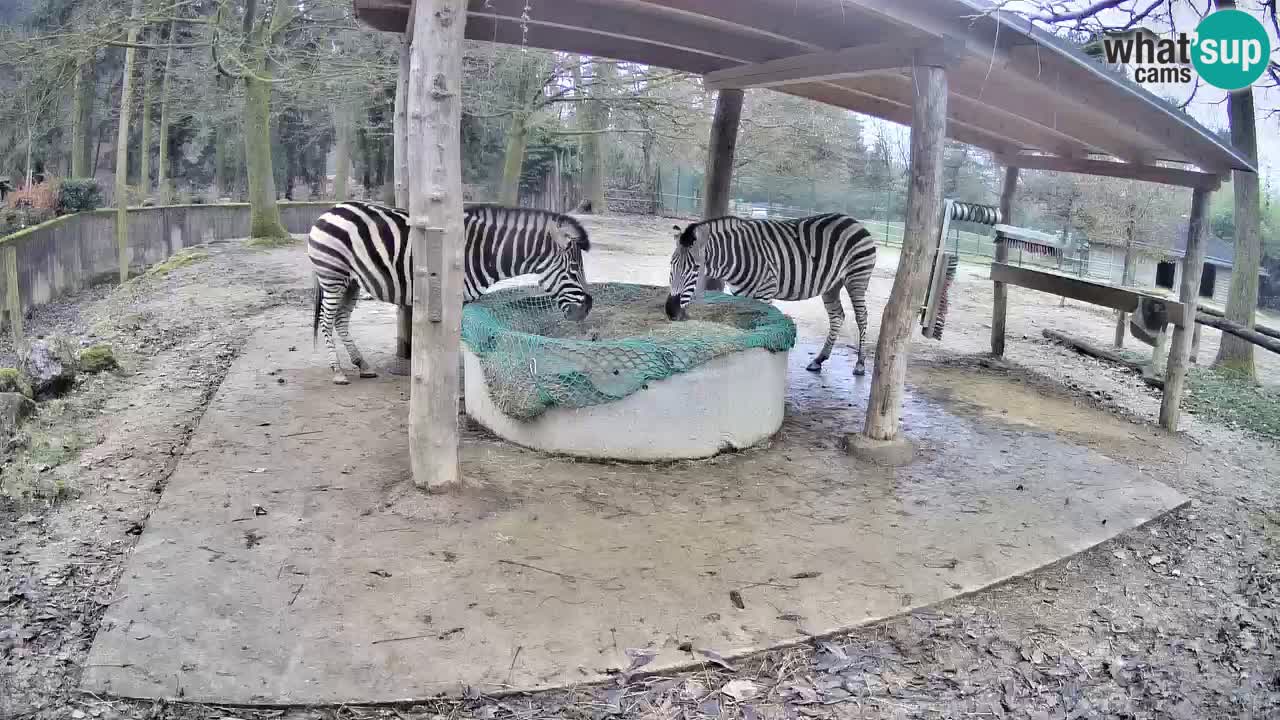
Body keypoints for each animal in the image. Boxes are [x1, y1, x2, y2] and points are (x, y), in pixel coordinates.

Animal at [308, 201, 593, 385]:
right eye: (574, 269)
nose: (588, 308)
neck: (484, 252)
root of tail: (330, 210)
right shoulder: (456, 299)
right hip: (332, 275)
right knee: (326, 320)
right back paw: (337, 371)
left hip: (352, 281)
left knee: (340, 320)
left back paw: (362, 365)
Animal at [665, 213, 877, 375]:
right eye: (671, 264)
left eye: (696, 268)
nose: (671, 310)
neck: (737, 255)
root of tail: (853, 220)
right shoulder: (740, 295)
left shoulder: (765, 292)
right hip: (832, 285)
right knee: (837, 316)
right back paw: (819, 359)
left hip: (857, 278)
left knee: (862, 317)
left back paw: (860, 364)